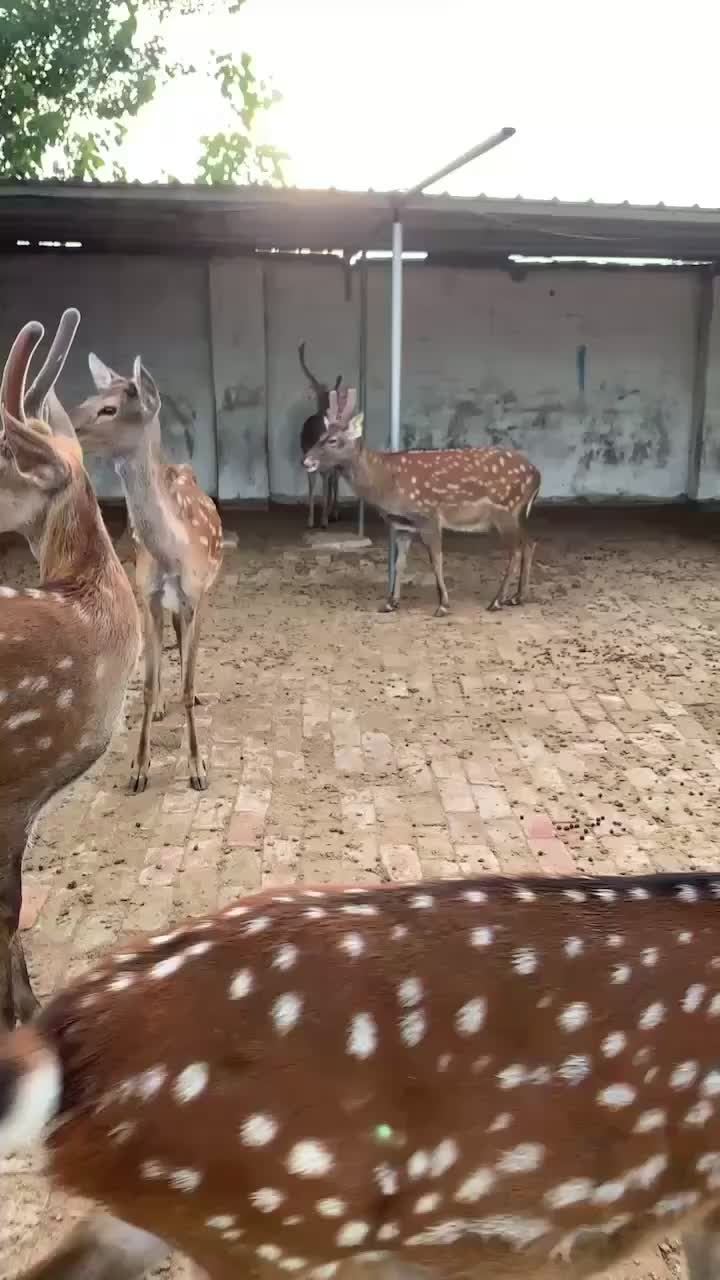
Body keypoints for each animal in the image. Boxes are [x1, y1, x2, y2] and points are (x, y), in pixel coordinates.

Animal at [72, 350, 221, 788]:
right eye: (88, 397)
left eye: (109, 408)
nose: (67, 423)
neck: (173, 555)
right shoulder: (147, 597)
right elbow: (148, 685)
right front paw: (139, 767)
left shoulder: (197, 596)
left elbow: (187, 685)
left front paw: (197, 768)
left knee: (185, 642)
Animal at [301, 389, 538, 619]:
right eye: (320, 436)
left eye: (332, 440)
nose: (306, 461)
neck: (385, 482)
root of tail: (537, 474)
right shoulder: (402, 525)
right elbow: (399, 563)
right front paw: (391, 603)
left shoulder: (428, 516)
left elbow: (436, 559)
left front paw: (443, 605)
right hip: (519, 514)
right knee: (529, 543)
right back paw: (518, 597)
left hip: (506, 509)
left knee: (515, 550)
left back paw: (497, 601)